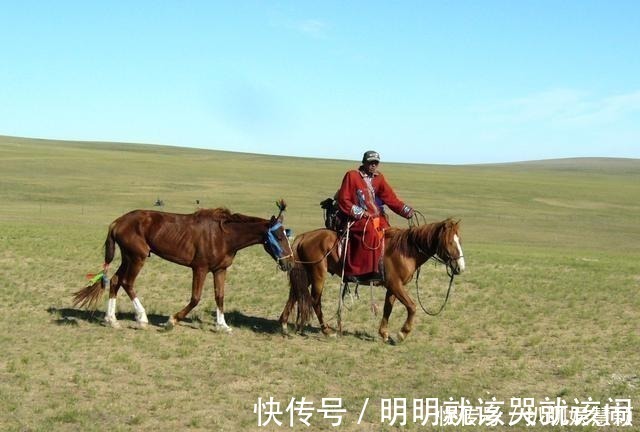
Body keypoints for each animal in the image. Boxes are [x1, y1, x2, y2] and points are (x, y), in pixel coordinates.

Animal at [74, 200, 294, 330]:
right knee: (127, 282)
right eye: (279, 237)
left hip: (129, 257)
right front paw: (171, 321)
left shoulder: (220, 270)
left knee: (115, 281)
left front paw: (222, 325)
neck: (223, 235)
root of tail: (117, 222)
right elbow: (195, 298)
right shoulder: (200, 268)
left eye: (286, 235)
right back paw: (142, 318)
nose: (290, 263)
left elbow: (220, 296)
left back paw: (111, 319)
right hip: (138, 257)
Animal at [280, 219, 464, 344]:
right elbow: (412, 307)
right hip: (318, 274)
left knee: (294, 295)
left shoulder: (393, 287)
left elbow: (387, 308)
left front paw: (384, 333)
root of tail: (304, 236)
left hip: (306, 274)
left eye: (459, 241)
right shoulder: (396, 285)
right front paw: (402, 333)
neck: (405, 250)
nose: (460, 267)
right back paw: (327, 331)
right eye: (450, 242)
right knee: (315, 301)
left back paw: (284, 325)